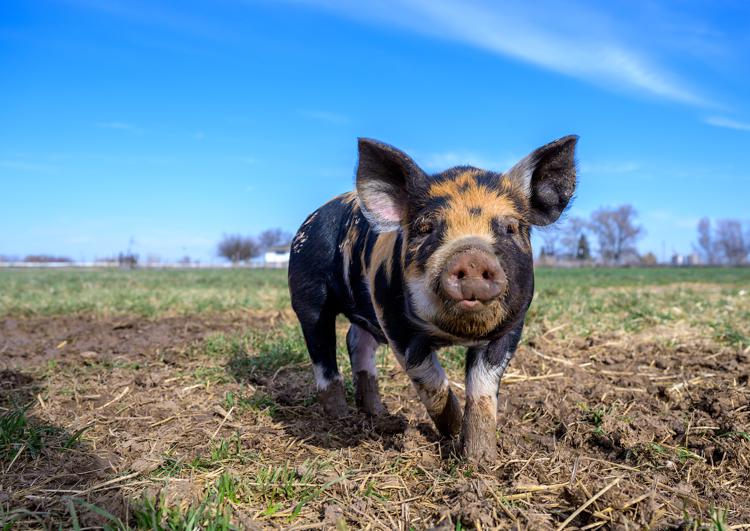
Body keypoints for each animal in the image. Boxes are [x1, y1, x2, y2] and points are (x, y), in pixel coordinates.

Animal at [290, 136, 580, 462]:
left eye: (511, 227)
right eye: (425, 228)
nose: (473, 256)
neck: (454, 335)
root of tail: (313, 217)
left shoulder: (512, 327)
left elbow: (482, 390)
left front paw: (479, 460)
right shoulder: (395, 323)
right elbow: (430, 380)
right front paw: (452, 431)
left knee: (357, 342)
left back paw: (378, 414)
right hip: (308, 293)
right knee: (323, 351)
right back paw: (340, 416)